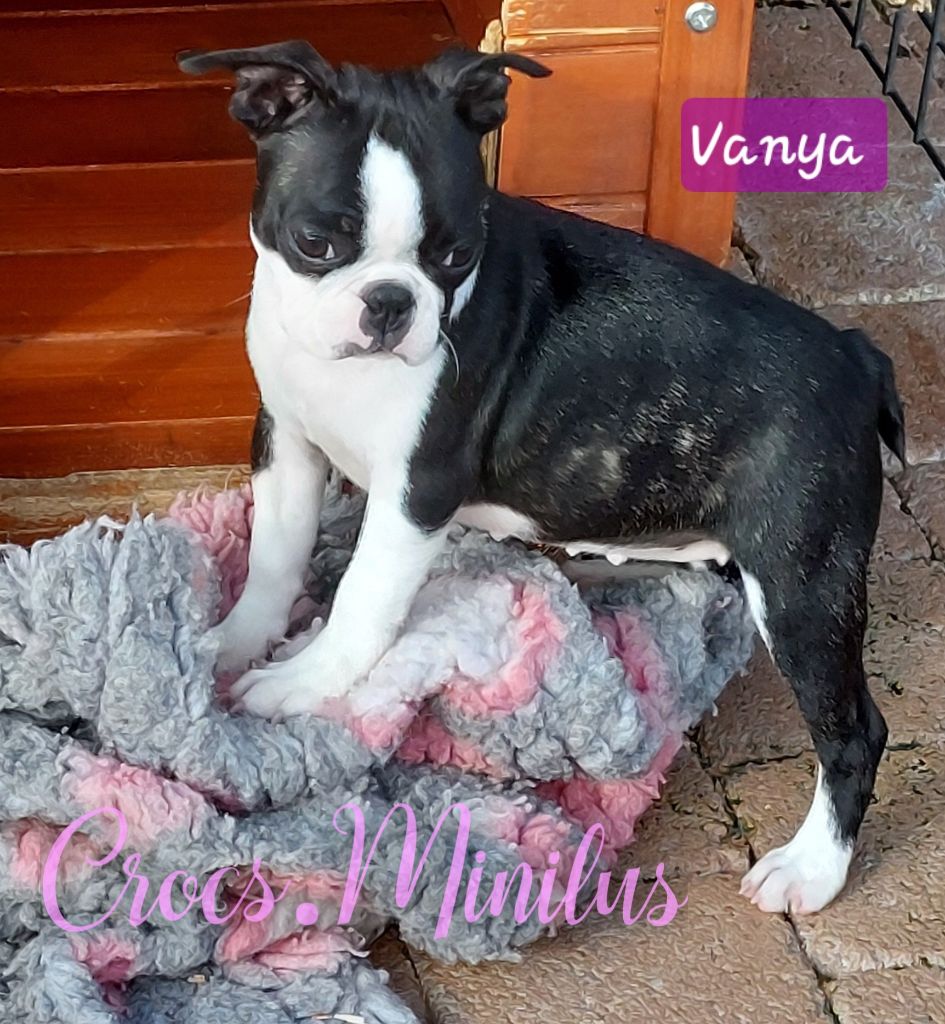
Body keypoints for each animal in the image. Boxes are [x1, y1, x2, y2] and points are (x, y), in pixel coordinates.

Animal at [178, 41, 904, 918]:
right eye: (316, 244)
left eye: (457, 257)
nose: (390, 303)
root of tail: (857, 357)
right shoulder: (286, 438)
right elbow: (273, 558)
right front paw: (229, 642)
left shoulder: (418, 487)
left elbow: (361, 602)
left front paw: (301, 684)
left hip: (802, 579)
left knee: (852, 731)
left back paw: (811, 869)